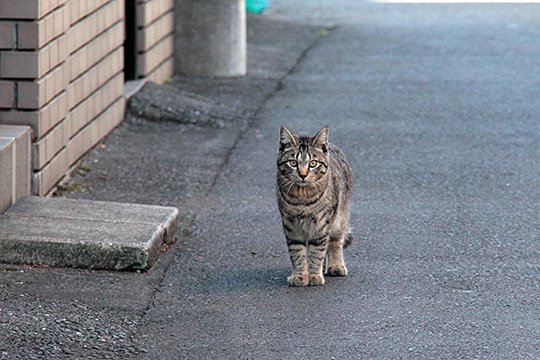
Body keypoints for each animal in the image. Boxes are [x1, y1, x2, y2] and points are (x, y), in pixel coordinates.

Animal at [276, 126, 352, 286]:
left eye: (313, 163)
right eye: (293, 163)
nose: (303, 174)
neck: (302, 199)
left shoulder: (321, 225)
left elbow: (317, 252)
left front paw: (315, 275)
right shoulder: (291, 226)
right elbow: (297, 252)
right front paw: (300, 275)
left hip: (340, 218)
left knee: (335, 242)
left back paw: (335, 265)